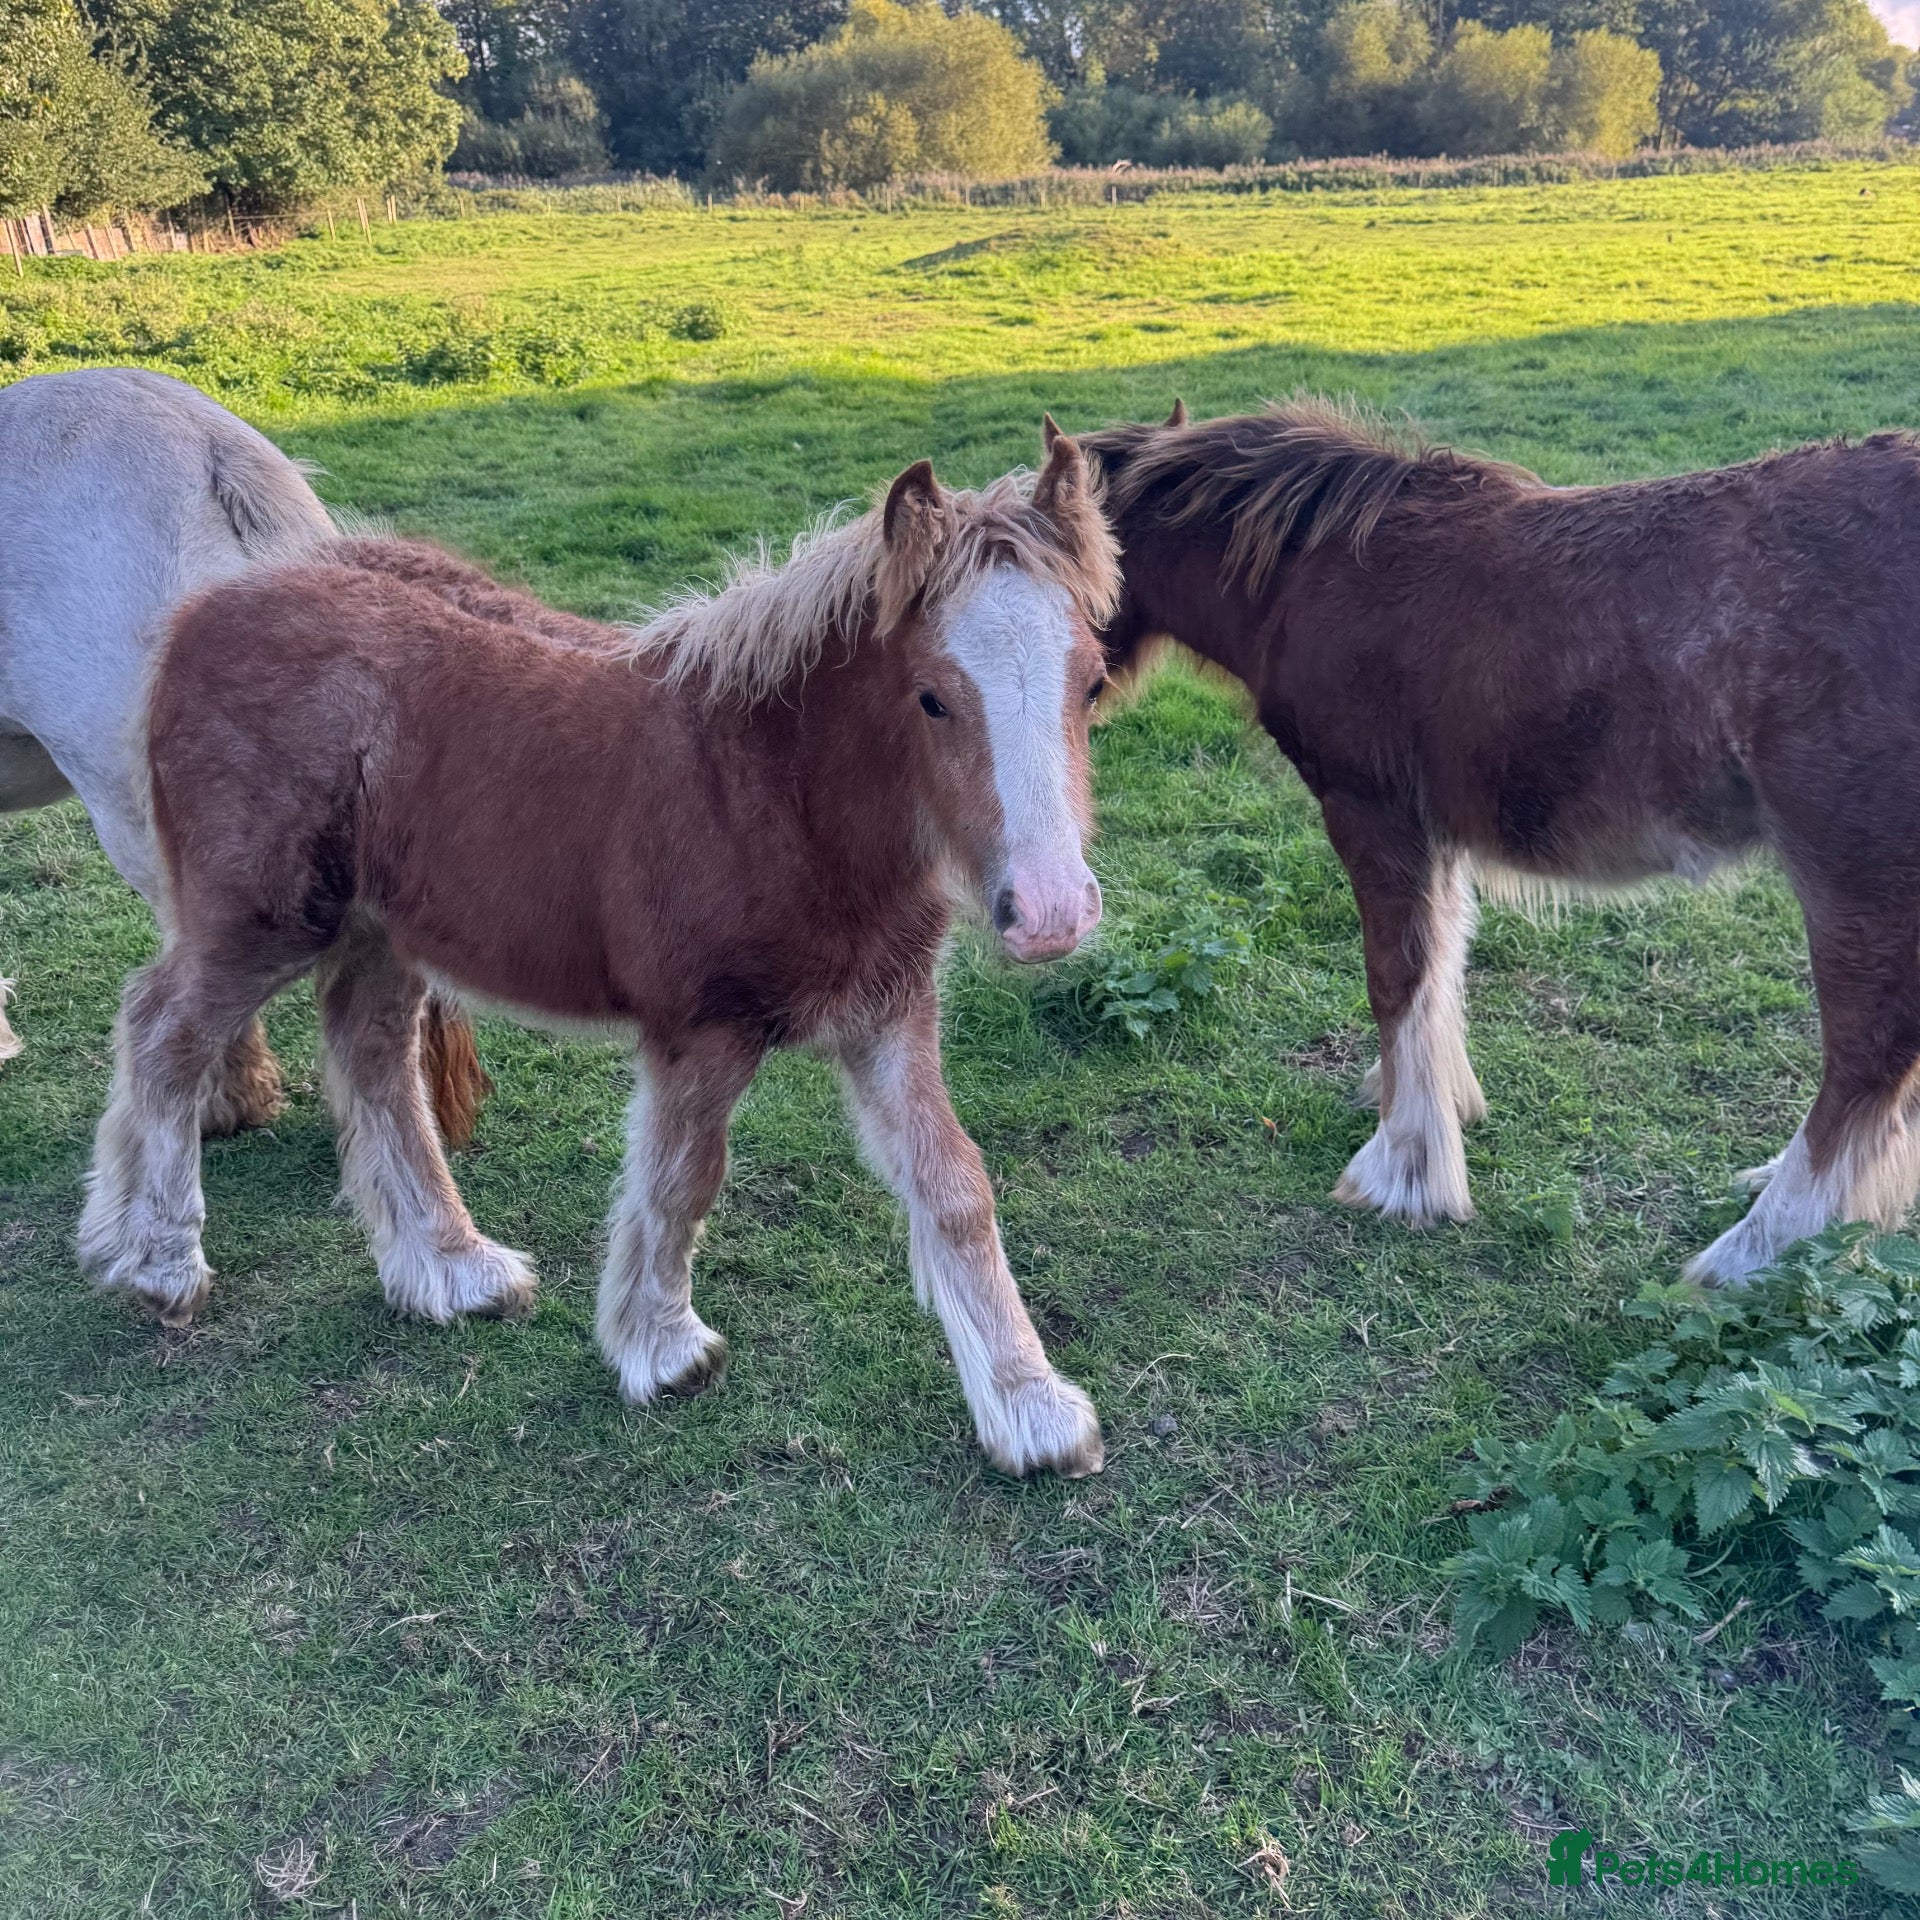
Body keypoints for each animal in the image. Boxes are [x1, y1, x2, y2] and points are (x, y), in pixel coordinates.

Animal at [81, 422, 1118, 1478]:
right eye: (931, 699)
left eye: (1092, 682)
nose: (1051, 911)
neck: (774, 792)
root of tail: (212, 605)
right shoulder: (701, 1029)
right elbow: (682, 1179)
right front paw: (662, 1349)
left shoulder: (889, 1014)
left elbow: (956, 1187)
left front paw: (1031, 1409)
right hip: (265, 916)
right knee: (164, 1027)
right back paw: (157, 1260)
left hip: (376, 926)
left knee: (369, 1057)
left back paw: (451, 1270)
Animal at [1083, 398, 1920, 1285]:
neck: (1308, 573)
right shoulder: (1436, 832)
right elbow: (1442, 962)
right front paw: (1435, 1103)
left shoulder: (1370, 810)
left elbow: (1396, 977)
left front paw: (1406, 1169)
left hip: (1853, 864)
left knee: (1867, 1055)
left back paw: (1753, 1252)